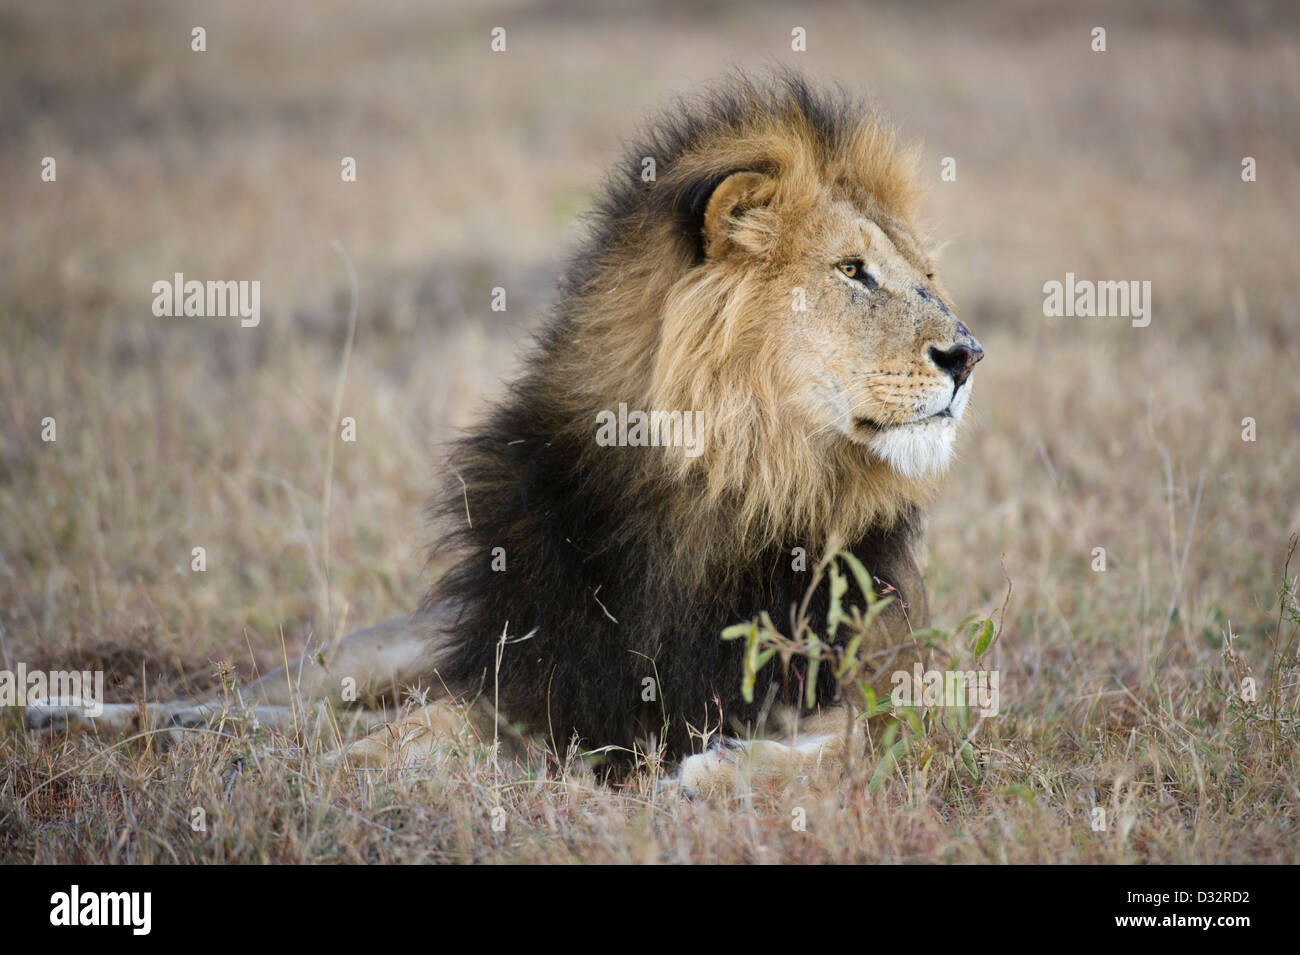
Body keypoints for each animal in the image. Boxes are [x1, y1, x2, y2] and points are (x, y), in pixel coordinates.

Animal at [25, 72, 977, 800]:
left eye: (928, 277)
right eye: (852, 272)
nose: (967, 353)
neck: (729, 489)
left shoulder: (888, 683)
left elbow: (858, 745)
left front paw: (714, 773)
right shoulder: (532, 680)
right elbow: (414, 729)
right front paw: (315, 775)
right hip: (395, 646)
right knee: (269, 702)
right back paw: (79, 711)